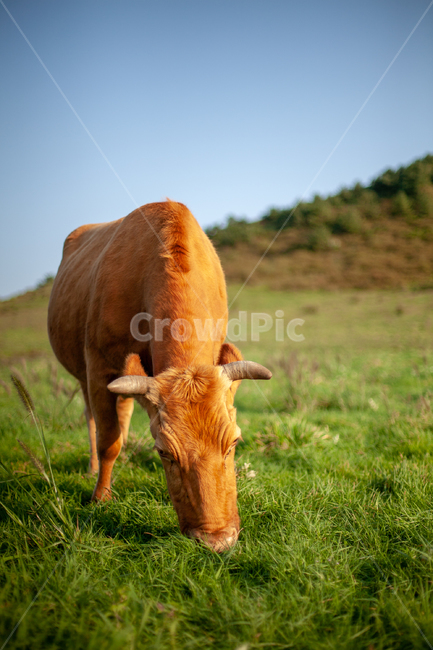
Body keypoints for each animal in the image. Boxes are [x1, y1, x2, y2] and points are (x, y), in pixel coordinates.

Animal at [48, 200, 271, 552]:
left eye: (235, 441)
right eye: (164, 452)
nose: (217, 540)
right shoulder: (99, 368)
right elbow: (108, 439)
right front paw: (100, 498)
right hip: (84, 376)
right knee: (93, 420)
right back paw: (93, 469)